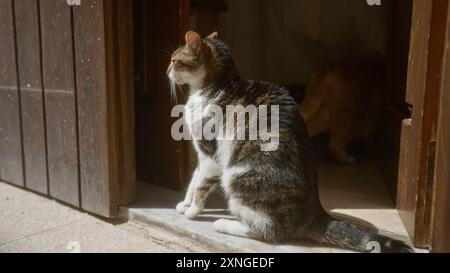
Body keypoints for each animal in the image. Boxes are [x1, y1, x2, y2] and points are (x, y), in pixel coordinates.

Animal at [168, 30, 412, 252]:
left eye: (174, 60)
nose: (167, 71)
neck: (216, 85)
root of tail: (315, 214)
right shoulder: (202, 156)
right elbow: (193, 181)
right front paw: (184, 203)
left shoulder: (211, 154)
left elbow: (201, 185)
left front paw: (193, 211)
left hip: (236, 178)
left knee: (269, 231)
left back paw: (224, 224)